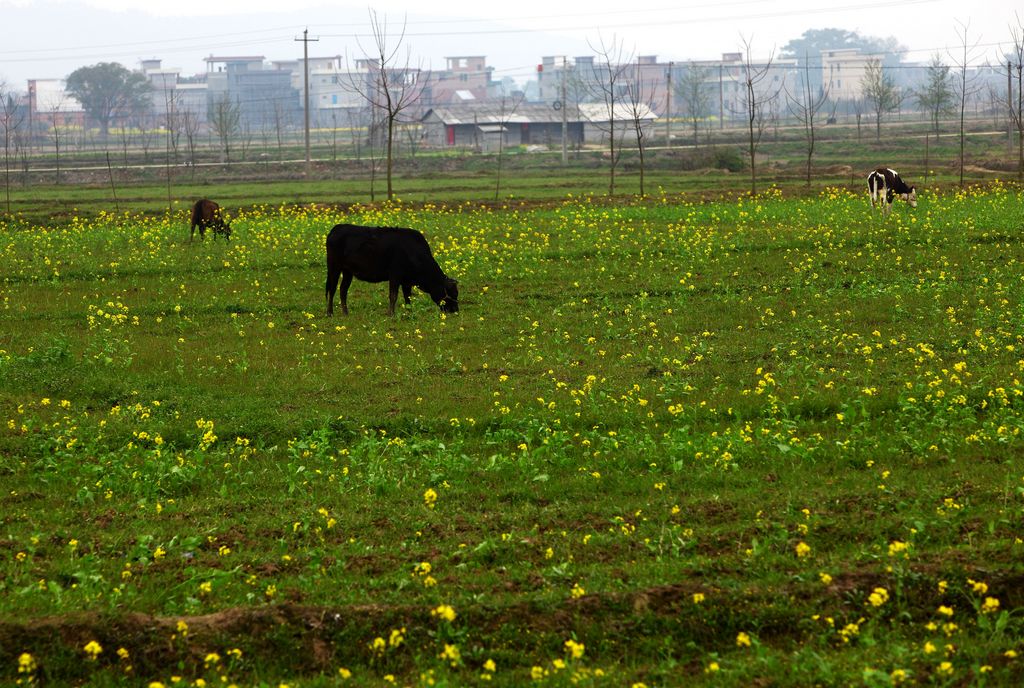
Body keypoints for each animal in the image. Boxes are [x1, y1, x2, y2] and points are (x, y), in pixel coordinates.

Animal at [325, 223, 458, 317]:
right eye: (452, 293)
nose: (455, 310)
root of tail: (335, 229)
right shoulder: (395, 275)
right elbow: (393, 296)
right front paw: (392, 314)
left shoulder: (406, 281)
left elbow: (407, 297)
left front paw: (409, 312)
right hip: (334, 268)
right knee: (332, 289)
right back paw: (330, 313)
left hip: (348, 271)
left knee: (343, 290)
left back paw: (345, 313)